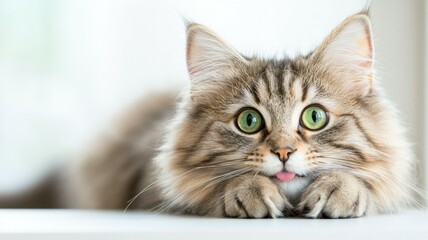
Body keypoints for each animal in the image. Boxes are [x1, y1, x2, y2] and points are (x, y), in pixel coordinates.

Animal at [0, 12, 422, 218]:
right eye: (249, 121)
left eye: (314, 118)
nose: (284, 152)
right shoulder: (146, 183)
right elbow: (207, 187)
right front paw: (247, 191)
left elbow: (365, 180)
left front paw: (340, 189)